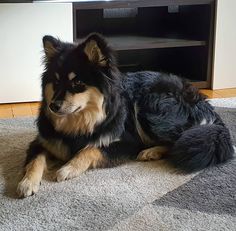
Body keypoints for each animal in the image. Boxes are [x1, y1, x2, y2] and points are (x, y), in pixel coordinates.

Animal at [17, 33, 234, 198]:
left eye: (77, 83)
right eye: (55, 82)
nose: (53, 106)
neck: (79, 124)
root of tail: (203, 101)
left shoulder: (127, 143)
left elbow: (90, 149)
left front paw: (68, 168)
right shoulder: (42, 142)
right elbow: (35, 160)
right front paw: (27, 182)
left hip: (150, 108)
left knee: (179, 140)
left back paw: (151, 151)